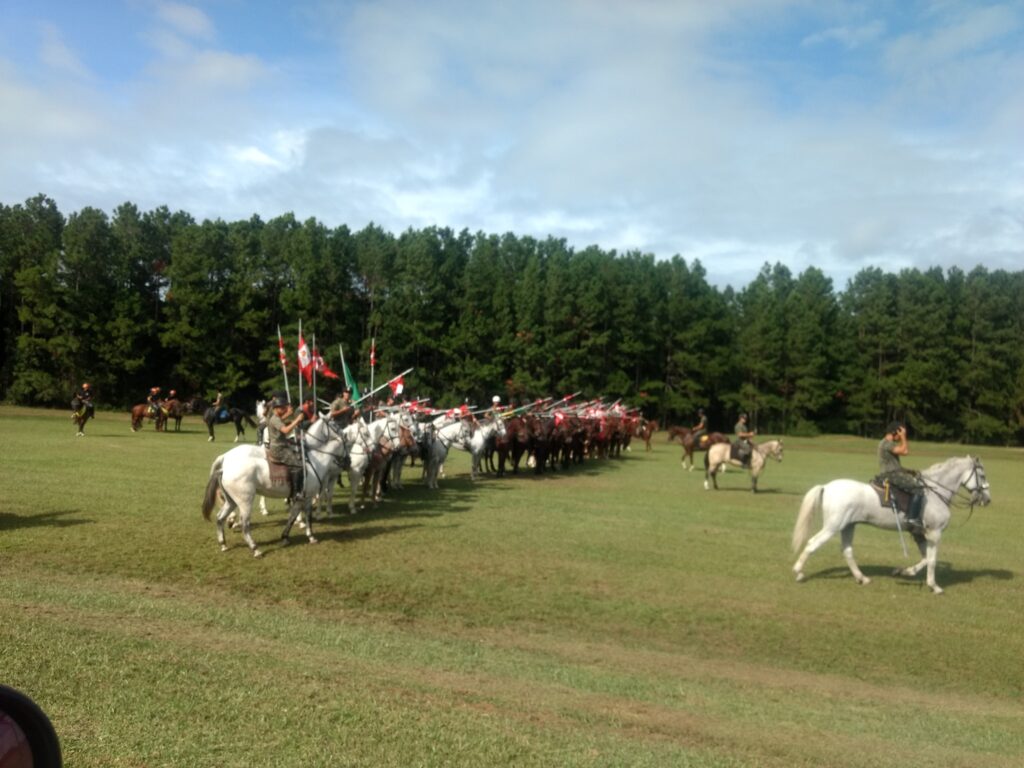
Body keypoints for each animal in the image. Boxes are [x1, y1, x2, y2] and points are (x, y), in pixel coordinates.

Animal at [201, 415, 354, 561]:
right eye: (347, 445)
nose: (349, 462)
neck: (315, 461)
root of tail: (225, 463)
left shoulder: (300, 499)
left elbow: (292, 517)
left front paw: (285, 537)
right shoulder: (307, 497)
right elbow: (307, 517)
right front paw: (311, 537)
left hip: (231, 501)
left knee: (220, 518)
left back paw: (223, 544)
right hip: (245, 501)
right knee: (245, 525)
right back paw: (255, 549)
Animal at [790, 456, 991, 593]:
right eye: (982, 475)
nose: (987, 499)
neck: (935, 493)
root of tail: (827, 486)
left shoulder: (920, 534)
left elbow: (925, 558)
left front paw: (904, 572)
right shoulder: (935, 533)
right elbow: (932, 560)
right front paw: (934, 586)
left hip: (848, 526)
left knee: (847, 551)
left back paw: (862, 578)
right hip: (833, 526)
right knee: (813, 543)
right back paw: (798, 572)